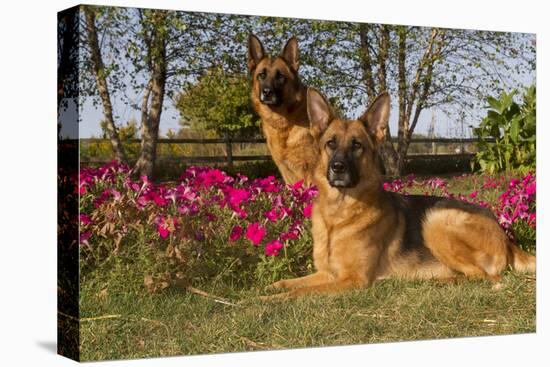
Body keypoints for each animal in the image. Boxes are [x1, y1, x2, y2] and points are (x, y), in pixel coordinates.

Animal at [268, 88, 540, 300]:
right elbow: (287, 283)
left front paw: (271, 300)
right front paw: (267, 290)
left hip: (436, 220)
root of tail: (506, 238)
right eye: (330, 143)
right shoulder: (325, 273)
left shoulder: (353, 280)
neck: (338, 214)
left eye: (357, 145)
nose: (337, 167)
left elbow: (299, 292)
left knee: (484, 276)